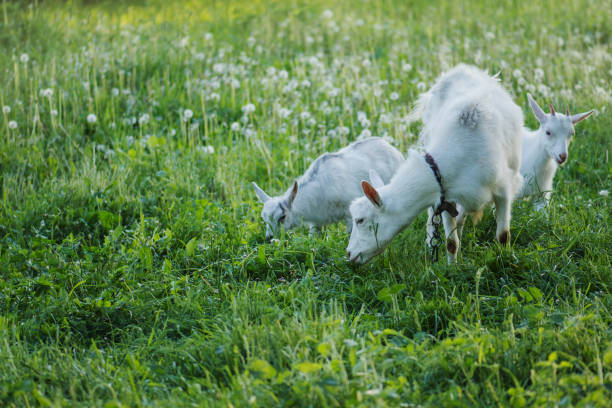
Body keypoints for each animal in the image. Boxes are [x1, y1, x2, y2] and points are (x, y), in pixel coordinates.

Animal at [346, 62, 524, 262]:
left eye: (360, 220)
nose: (349, 254)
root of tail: (461, 69)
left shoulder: (503, 190)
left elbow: (503, 235)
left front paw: (506, 258)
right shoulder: (446, 197)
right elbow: (451, 242)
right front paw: (452, 266)